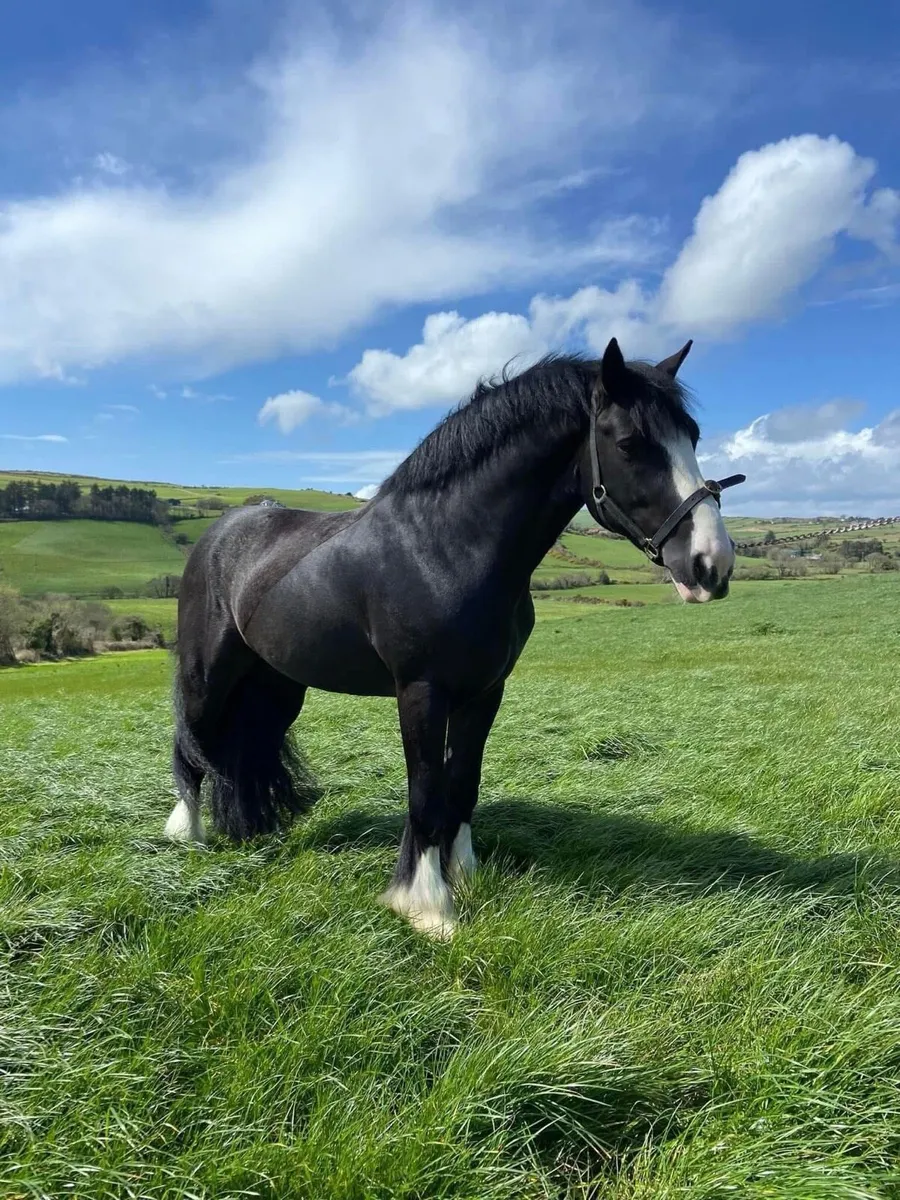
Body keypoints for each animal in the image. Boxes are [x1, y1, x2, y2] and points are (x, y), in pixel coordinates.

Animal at [166, 337, 744, 938]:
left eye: (693, 437)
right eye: (630, 443)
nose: (711, 564)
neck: (446, 546)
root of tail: (220, 534)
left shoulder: (485, 692)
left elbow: (462, 782)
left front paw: (464, 875)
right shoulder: (422, 692)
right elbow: (426, 792)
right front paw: (427, 906)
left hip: (278, 686)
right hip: (208, 675)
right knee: (190, 743)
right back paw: (187, 836)